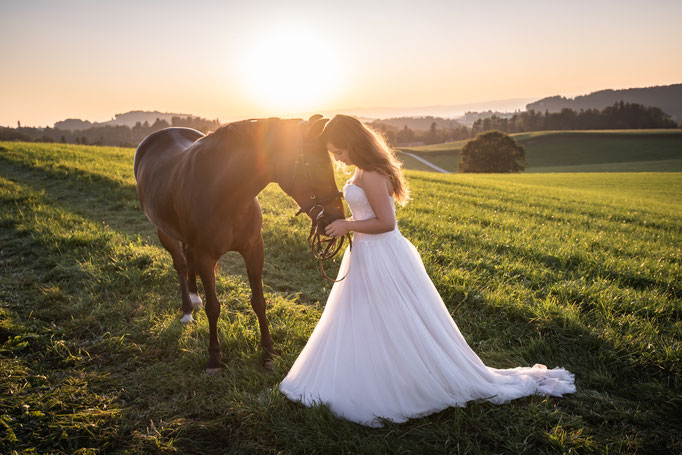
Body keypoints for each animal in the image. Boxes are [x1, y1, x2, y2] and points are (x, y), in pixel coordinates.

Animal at [133, 116, 346, 374]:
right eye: (314, 164)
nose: (336, 217)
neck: (224, 194)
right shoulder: (205, 257)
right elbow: (214, 307)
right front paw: (214, 359)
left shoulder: (254, 249)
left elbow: (259, 301)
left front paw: (268, 353)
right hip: (164, 232)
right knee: (181, 265)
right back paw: (187, 309)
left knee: (187, 259)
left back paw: (194, 297)